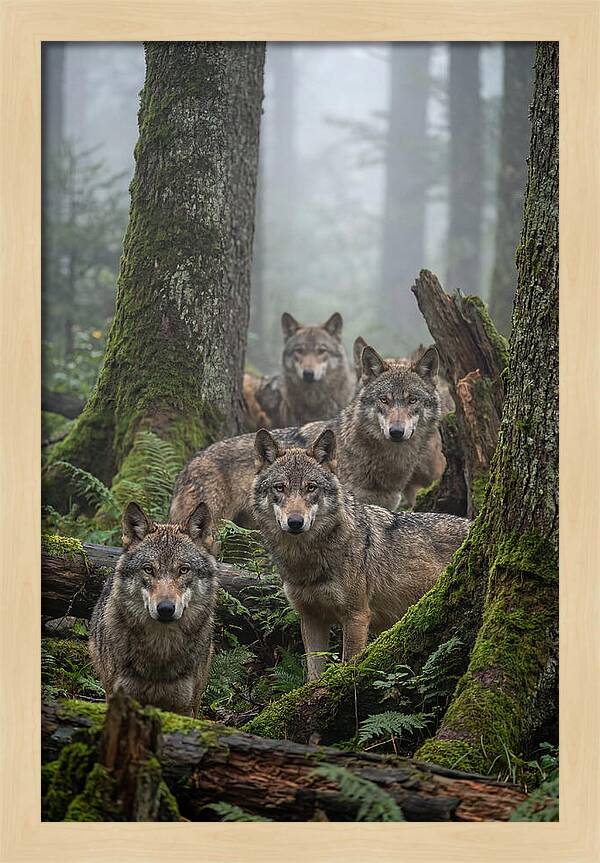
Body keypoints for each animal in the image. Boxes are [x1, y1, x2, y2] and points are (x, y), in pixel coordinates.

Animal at [252, 428, 470, 680]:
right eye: (280, 487)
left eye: (311, 487)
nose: (295, 522)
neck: (305, 560)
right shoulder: (311, 618)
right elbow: (313, 674)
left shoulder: (356, 616)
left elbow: (349, 665)